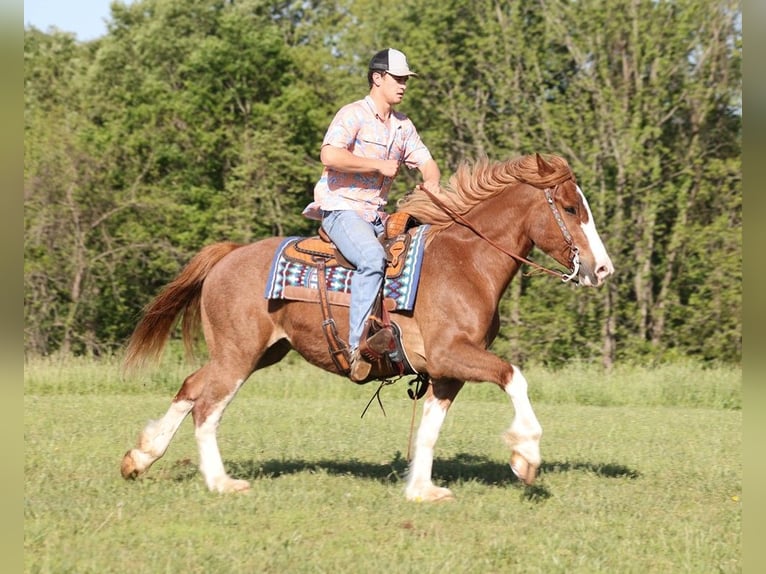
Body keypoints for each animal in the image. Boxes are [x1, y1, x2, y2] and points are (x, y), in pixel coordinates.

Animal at [120, 154, 616, 504]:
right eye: (571, 207)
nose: (603, 269)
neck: (467, 262)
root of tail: (228, 255)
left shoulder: (446, 372)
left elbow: (429, 429)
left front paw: (421, 490)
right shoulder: (453, 353)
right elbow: (514, 376)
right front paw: (526, 456)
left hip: (256, 352)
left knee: (191, 388)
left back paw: (140, 458)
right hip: (238, 354)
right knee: (208, 407)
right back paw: (221, 482)